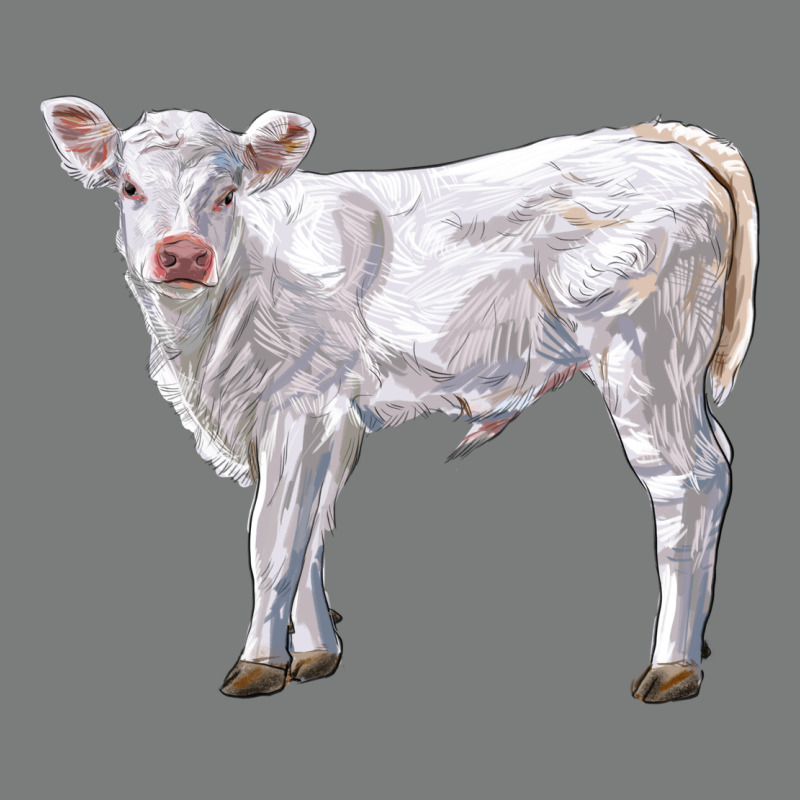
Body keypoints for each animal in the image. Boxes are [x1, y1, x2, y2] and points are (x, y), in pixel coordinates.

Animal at [41, 97, 757, 703]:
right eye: (129, 188)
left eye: (227, 194)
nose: (182, 254)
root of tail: (652, 137)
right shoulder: (335, 417)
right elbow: (314, 529)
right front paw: (317, 653)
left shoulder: (297, 404)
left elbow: (273, 539)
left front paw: (259, 664)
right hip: (679, 374)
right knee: (717, 461)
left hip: (647, 361)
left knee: (690, 481)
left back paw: (672, 666)